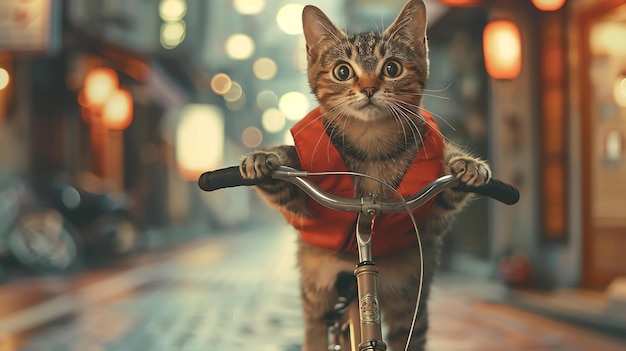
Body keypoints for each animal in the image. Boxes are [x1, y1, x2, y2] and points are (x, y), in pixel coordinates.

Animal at [238, 1, 488, 350]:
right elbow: (286, 174)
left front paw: (467, 163)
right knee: (314, 331)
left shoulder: (433, 214)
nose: (369, 88)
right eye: (343, 72)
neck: (371, 146)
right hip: (317, 295)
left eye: (392, 68)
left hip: (411, 299)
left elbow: (448, 178)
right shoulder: (304, 205)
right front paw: (266, 157)